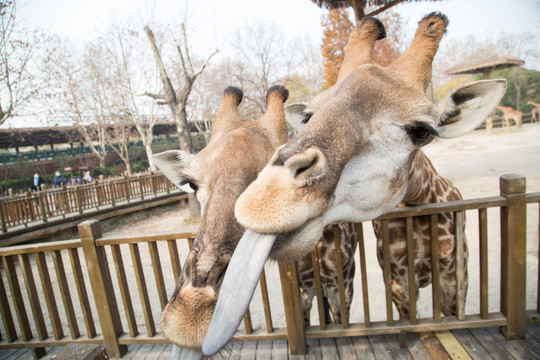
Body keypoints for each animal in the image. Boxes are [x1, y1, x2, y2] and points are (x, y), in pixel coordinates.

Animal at [205, 11, 508, 354]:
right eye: (308, 116)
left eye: (421, 130)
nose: (264, 200)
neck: (420, 200)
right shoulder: (396, 282)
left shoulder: (456, 276)